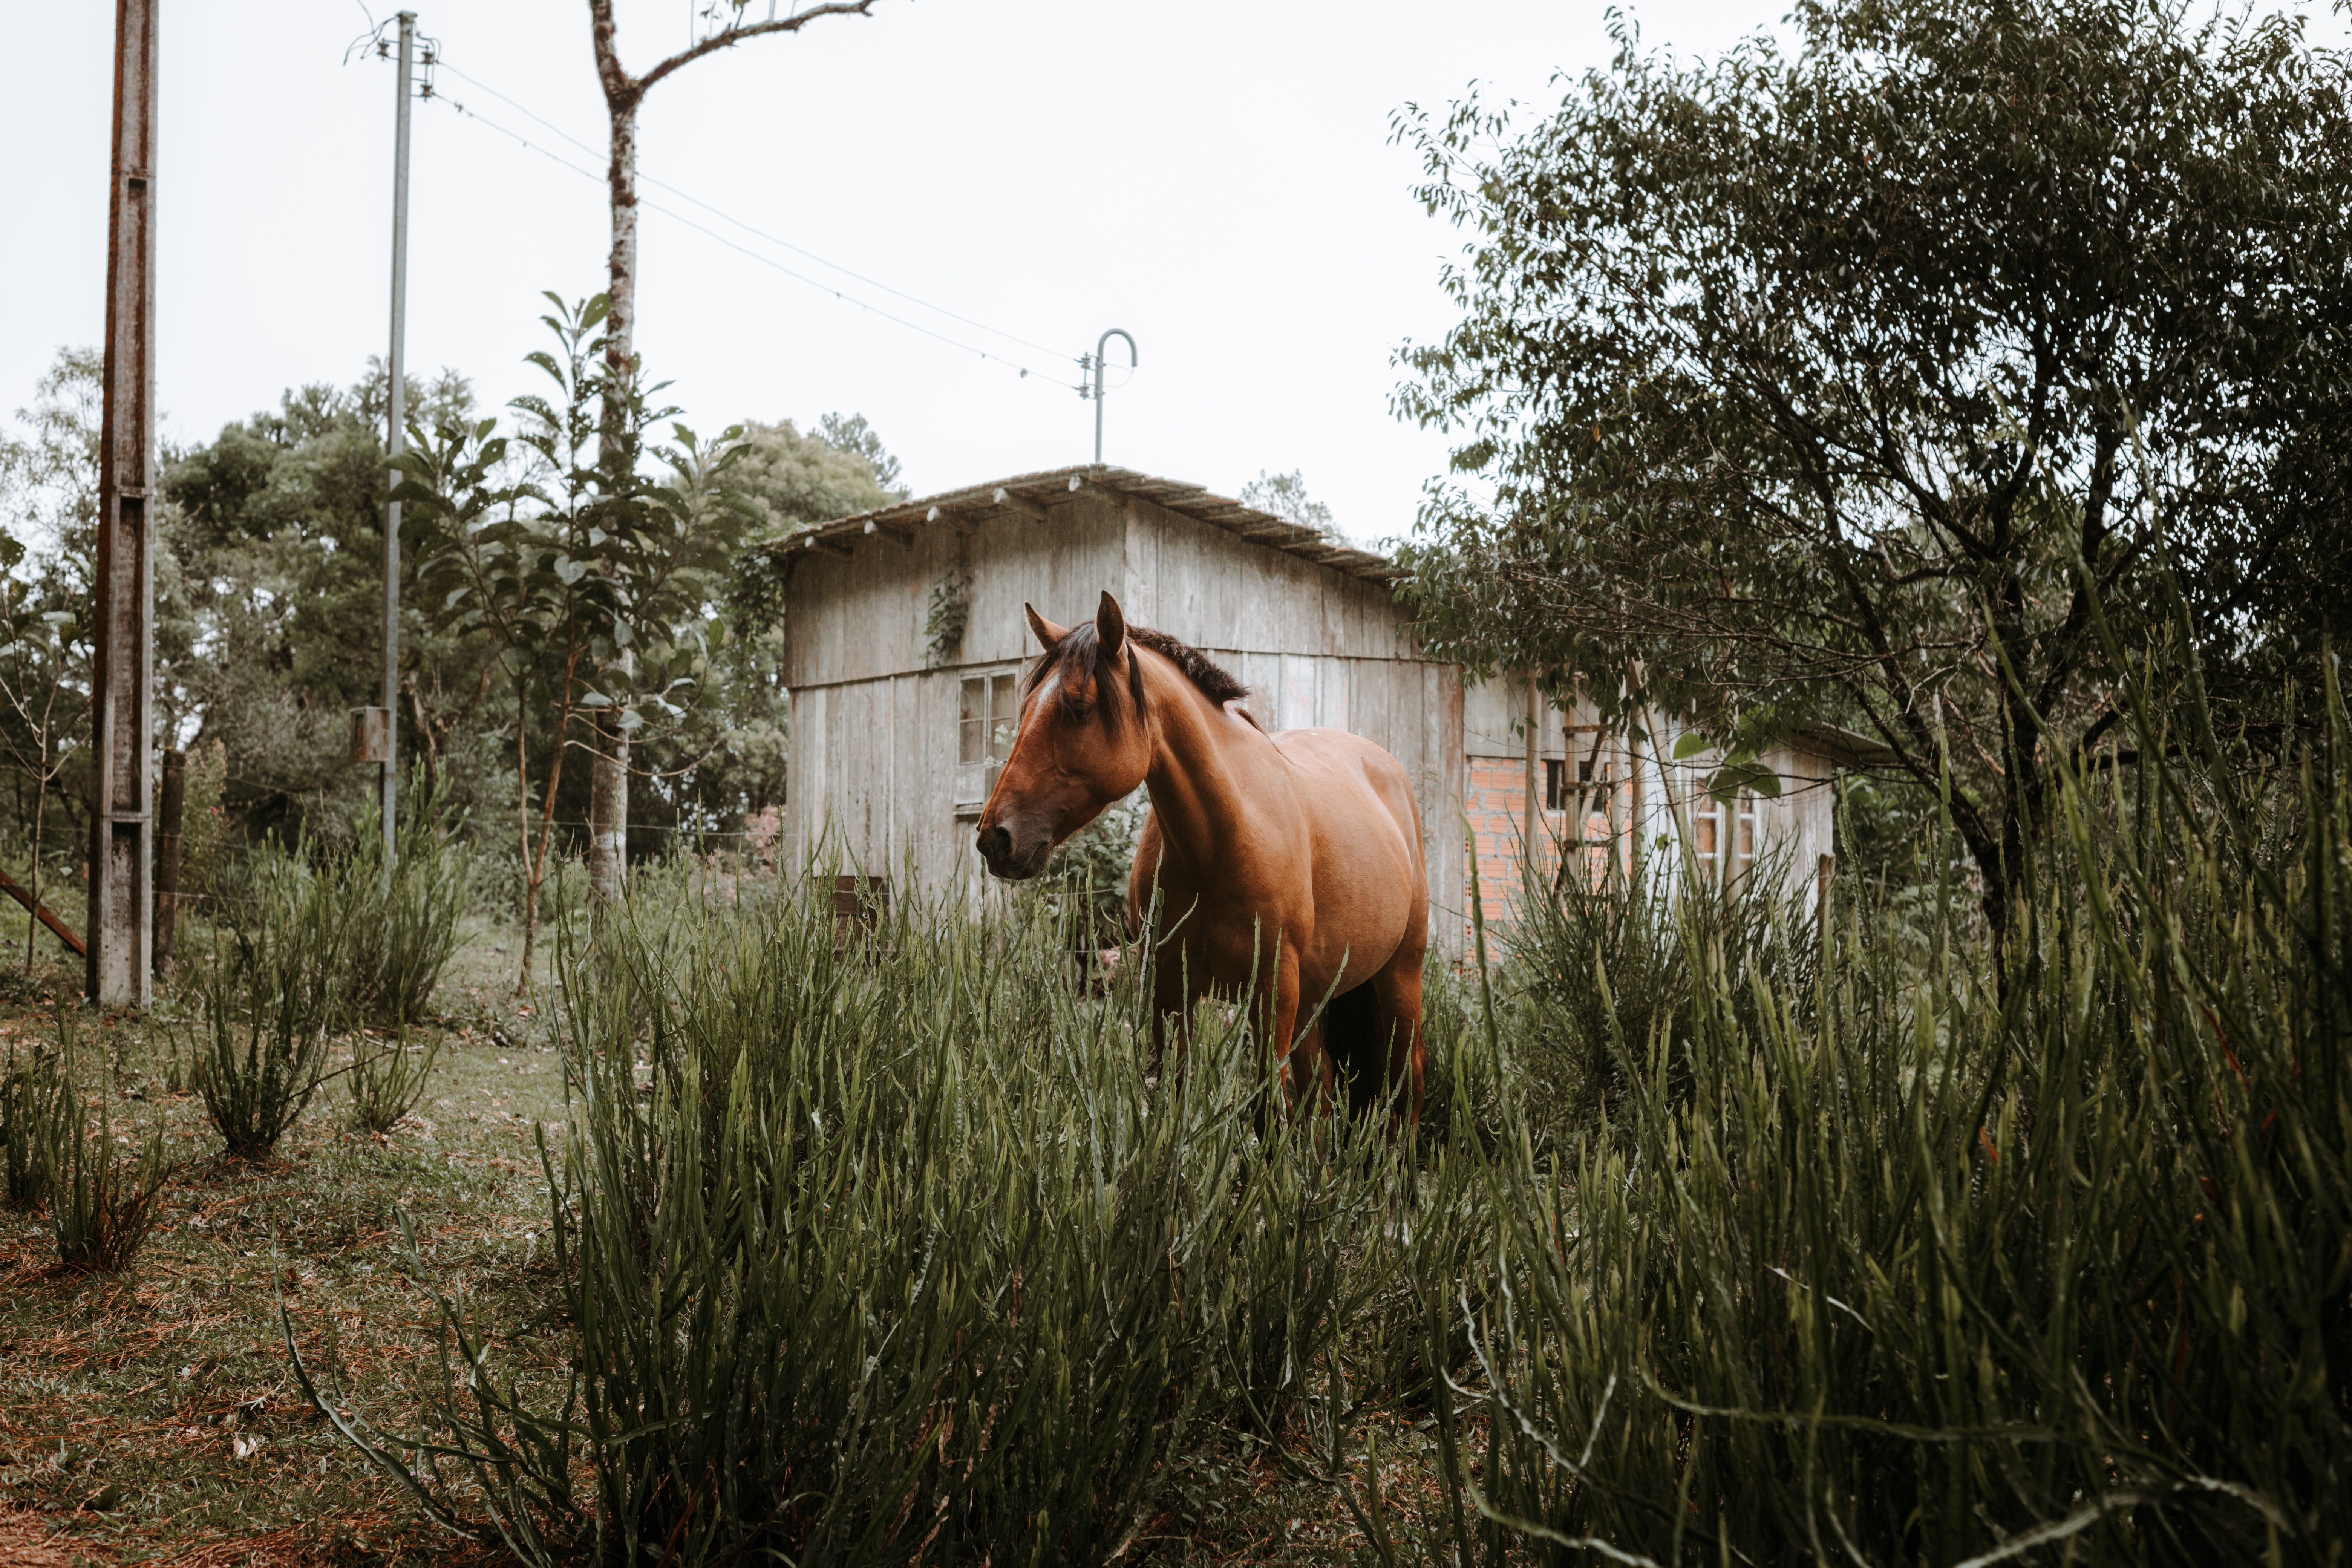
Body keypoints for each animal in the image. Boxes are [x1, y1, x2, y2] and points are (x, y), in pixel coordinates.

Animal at [974, 591, 1427, 1130]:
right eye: (1025, 708)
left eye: (1078, 708)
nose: (996, 837)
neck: (1223, 840)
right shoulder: (1169, 986)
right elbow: (1175, 1090)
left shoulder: (1272, 990)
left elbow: (1268, 1112)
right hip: (1316, 999)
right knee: (1321, 1095)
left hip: (1400, 979)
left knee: (1407, 1089)